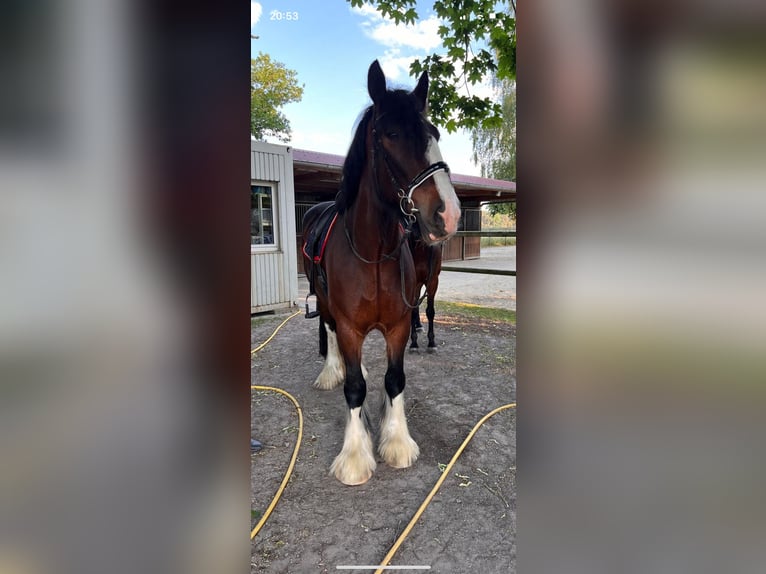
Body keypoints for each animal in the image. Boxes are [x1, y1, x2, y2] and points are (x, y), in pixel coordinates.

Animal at [304, 59, 462, 486]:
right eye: (391, 134)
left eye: (434, 134)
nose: (448, 214)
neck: (371, 255)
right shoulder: (349, 327)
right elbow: (355, 388)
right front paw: (355, 457)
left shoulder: (398, 326)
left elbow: (394, 380)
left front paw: (396, 442)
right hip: (324, 302)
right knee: (328, 334)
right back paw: (332, 371)